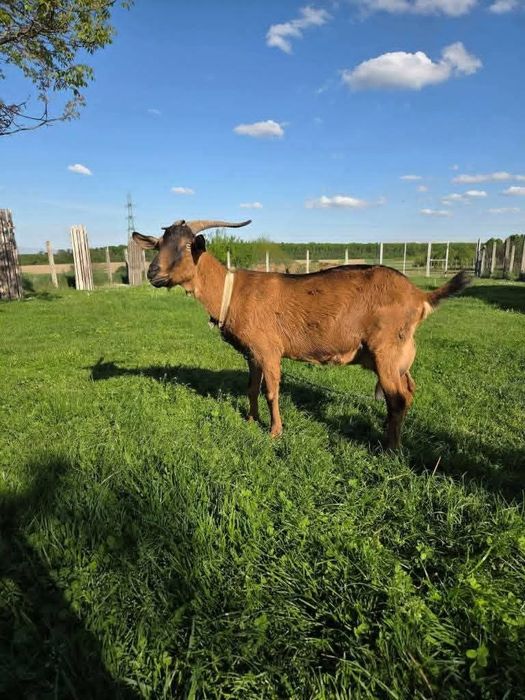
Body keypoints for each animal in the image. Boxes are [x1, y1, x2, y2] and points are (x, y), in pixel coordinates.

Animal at [133, 219, 469, 449]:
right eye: (159, 244)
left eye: (185, 248)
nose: (152, 273)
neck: (232, 291)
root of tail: (420, 295)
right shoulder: (252, 354)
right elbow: (251, 389)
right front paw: (251, 420)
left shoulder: (269, 350)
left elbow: (271, 392)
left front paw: (274, 432)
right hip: (402, 356)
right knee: (407, 391)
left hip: (386, 350)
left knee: (398, 399)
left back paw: (390, 448)